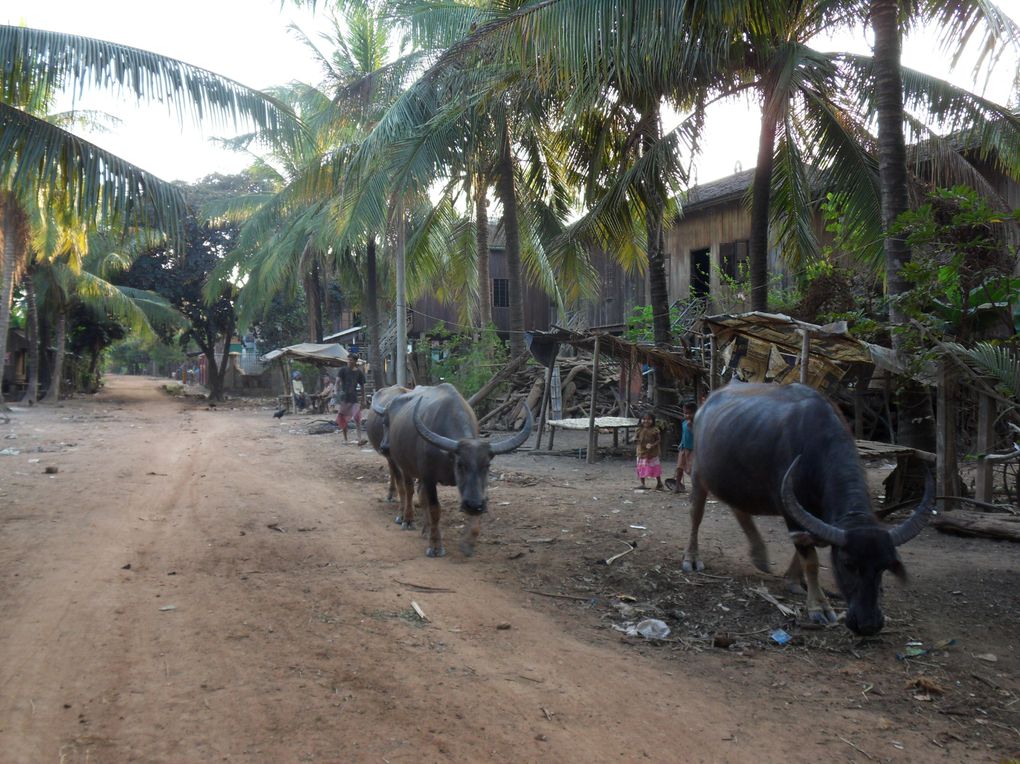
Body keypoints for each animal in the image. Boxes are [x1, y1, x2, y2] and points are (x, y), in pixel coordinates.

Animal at [375, 383, 534, 558]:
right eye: (460, 464)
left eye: (487, 465)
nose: (473, 505)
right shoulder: (429, 477)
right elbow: (434, 508)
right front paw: (435, 546)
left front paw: (468, 542)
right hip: (404, 465)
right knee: (408, 490)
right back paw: (407, 520)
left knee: (420, 494)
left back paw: (426, 529)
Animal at [685, 381, 934, 636]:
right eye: (848, 564)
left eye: (884, 566)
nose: (869, 624)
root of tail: (706, 403)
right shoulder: (791, 511)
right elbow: (811, 560)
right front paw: (818, 606)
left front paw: (793, 581)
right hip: (698, 474)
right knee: (696, 515)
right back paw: (692, 558)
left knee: (740, 510)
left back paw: (759, 555)